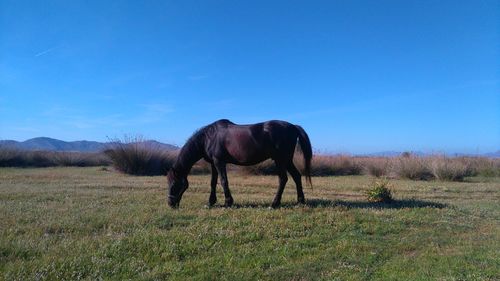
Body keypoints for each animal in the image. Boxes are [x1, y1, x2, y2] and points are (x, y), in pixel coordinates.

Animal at [168, 118, 312, 208]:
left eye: (174, 184)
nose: (170, 203)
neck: (209, 137)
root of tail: (293, 126)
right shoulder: (213, 163)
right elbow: (213, 182)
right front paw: (211, 202)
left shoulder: (219, 162)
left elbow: (223, 181)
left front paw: (228, 202)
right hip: (287, 160)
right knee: (296, 176)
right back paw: (300, 201)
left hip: (280, 160)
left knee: (283, 179)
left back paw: (274, 204)